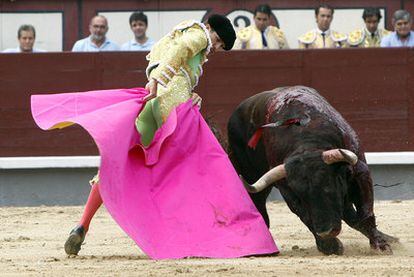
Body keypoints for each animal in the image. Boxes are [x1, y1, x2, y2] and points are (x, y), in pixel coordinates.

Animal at [226, 86, 398, 254]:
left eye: (328, 187)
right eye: (301, 196)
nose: (326, 231)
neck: (306, 143)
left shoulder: (360, 173)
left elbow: (365, 212)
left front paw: (381, 245)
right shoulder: (288, 191)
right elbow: (305, 216)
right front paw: (329, 246)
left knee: (351, 215)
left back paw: (389, 238)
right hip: (250, 175)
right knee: (258, 203)